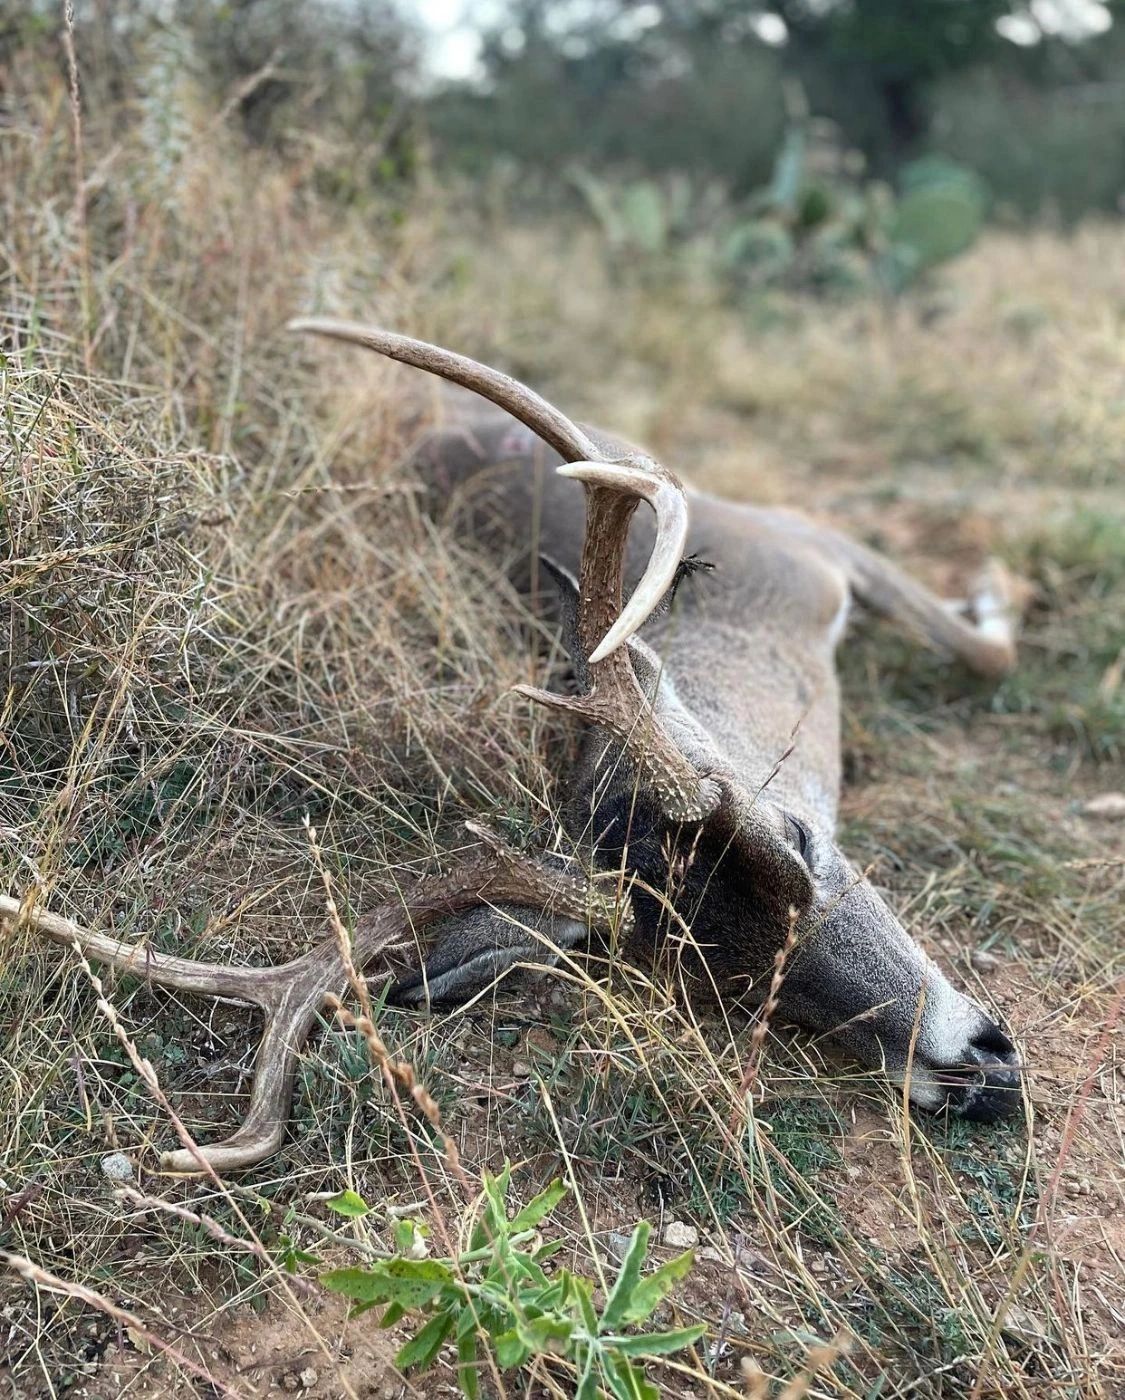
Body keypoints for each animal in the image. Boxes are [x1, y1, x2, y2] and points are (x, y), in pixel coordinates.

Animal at [0, 321, 1024, 1174]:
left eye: (800, 839)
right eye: (720, 982)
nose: (981, 1071)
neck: (747, 655)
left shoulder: (808, 543)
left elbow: (984, 652)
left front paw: (991, 583)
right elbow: (991, 653)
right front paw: (993, 588)